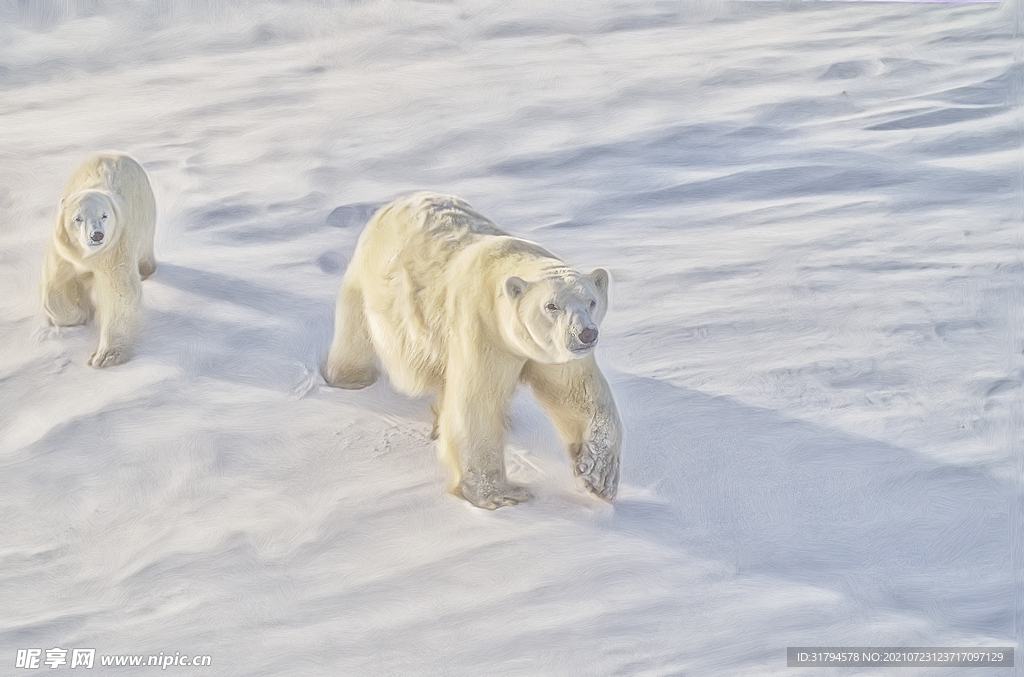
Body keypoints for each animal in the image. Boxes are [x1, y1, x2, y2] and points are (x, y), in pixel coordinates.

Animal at [41, 151, 156, 366]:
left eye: (104, 215)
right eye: (78, 218)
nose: (97, 235)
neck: (89, 256)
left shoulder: (116, 248)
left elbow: (120, 294)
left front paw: (104, 356)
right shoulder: (64, 253)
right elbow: (56, 287)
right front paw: (80, 313)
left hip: (145, 213)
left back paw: (145, 270)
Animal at [323, 190, 618, 508]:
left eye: (591, 301)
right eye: (551, 305)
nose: (586, 334)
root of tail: (400, 200)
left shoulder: (552, 351)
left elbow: (578, 394)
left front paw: (599, 475)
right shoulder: (482, 325)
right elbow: (477, 402)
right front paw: (501, 495)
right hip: (370, 280)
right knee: (355, 331)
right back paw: (350, 378)